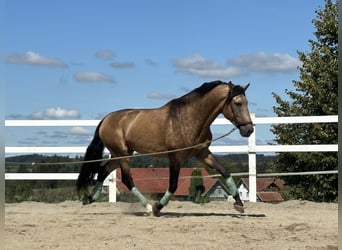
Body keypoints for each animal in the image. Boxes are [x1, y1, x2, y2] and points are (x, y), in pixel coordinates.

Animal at [77, 81, 254, 216]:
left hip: (119, 155)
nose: (249, 130)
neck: (189, 117)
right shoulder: (175, 157)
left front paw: (239, 204)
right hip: (122, 156)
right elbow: (173, 185)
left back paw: (89, 198)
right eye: (238, 103)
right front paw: (157, 207)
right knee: (127, 179)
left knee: (103, 171)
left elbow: (225, 171)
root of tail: (106, 119)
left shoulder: (202, 153)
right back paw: (148, 207)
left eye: (247, 103)